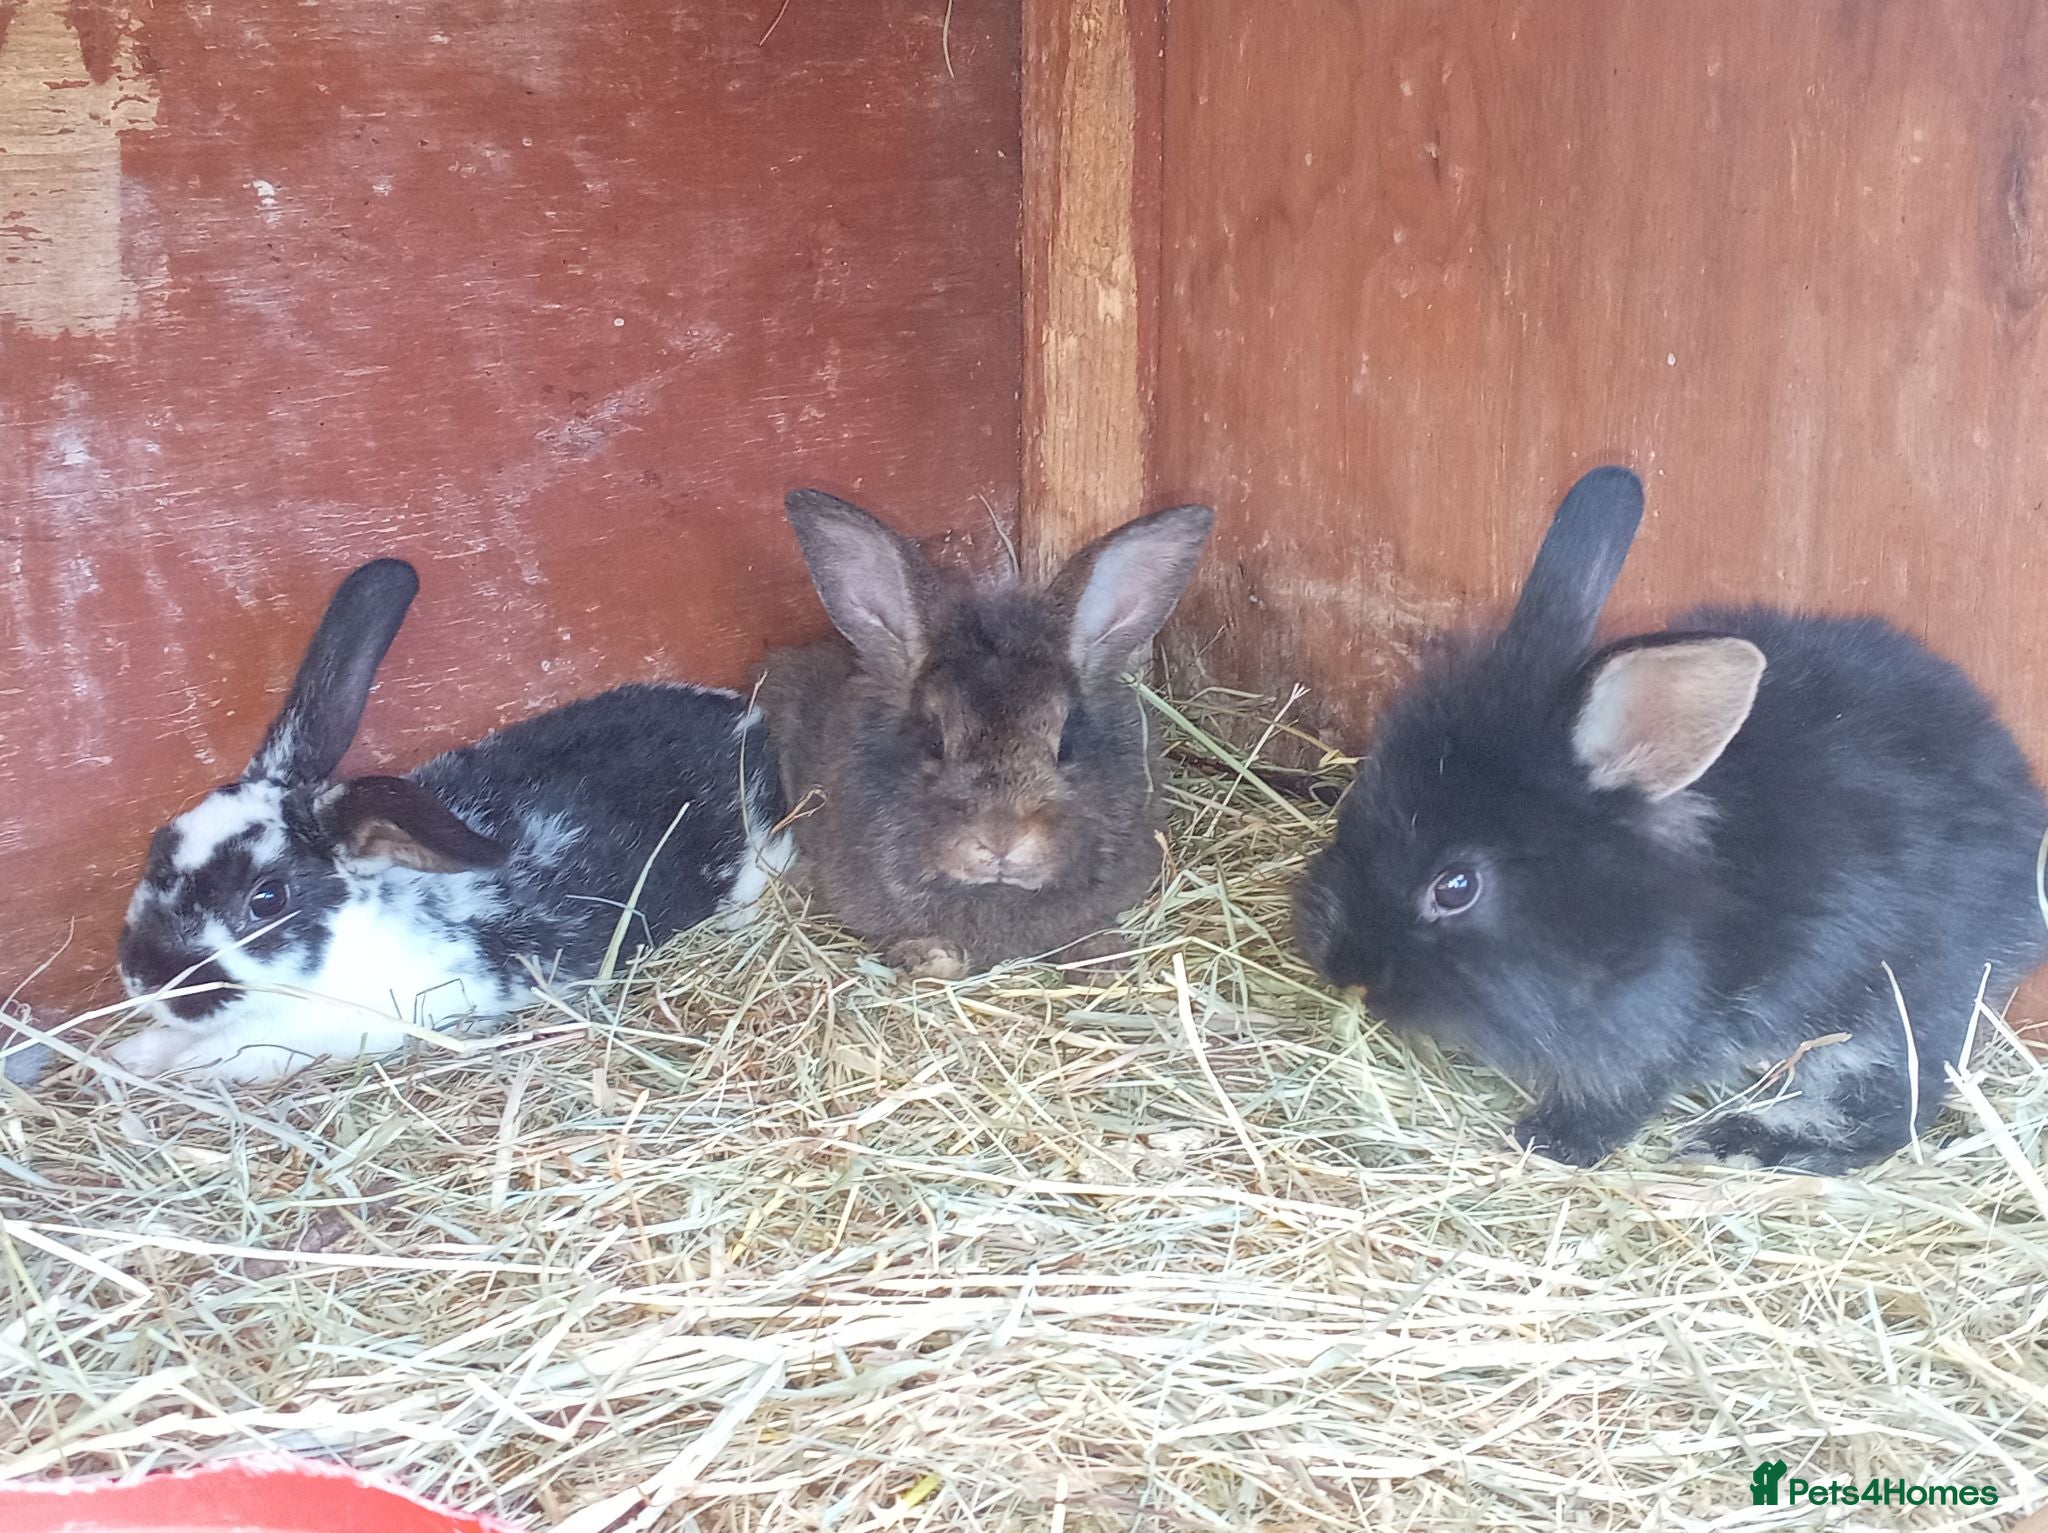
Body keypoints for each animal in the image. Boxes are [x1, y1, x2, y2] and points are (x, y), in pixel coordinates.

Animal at [111, 557, 791, 1083]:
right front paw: (133, 1057)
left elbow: (229, 1053)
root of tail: (748, 719)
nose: (143, 977)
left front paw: (166, 1068)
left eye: (267, 898)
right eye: (159, 842)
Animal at [1293, 466, 2048, 1174]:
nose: (1341, 965)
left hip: (1896, 999)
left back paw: (1745, 1140)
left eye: (1455, 887)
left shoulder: (1659, 1026)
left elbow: (1624, 1091)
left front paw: (1554, 1139)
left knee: (1890, 1104)